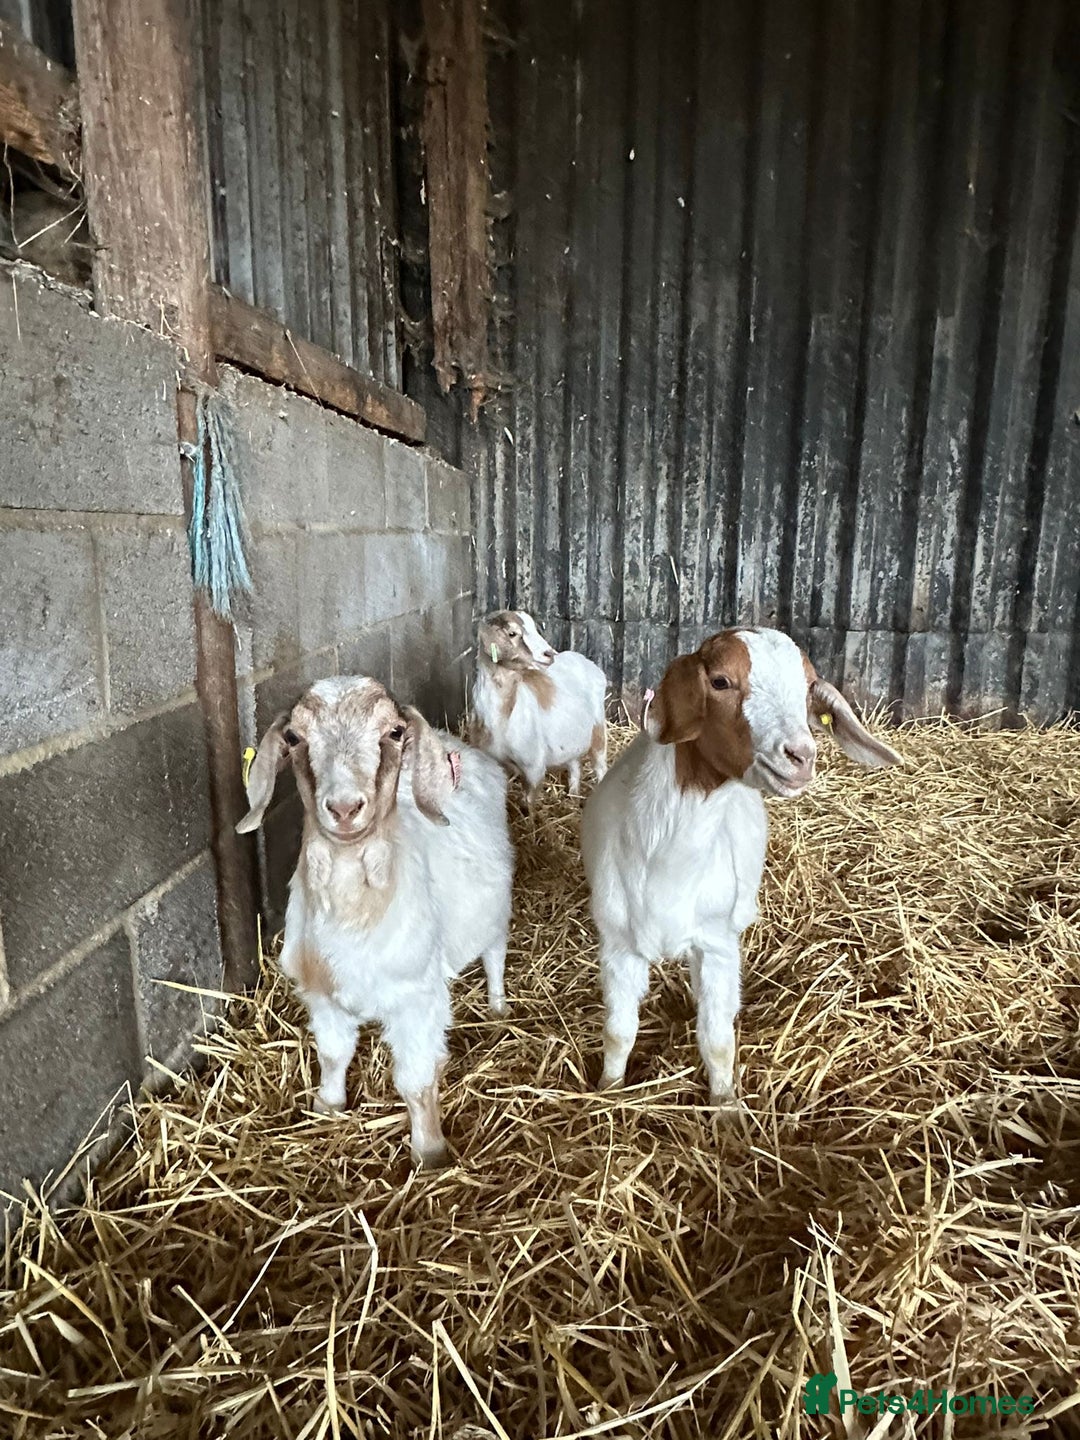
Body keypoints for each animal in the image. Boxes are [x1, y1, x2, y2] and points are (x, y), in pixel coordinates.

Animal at [236, 676, 514, 1168]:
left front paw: (429, 1154)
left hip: (496, 911)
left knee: (495, 955)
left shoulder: (416, 1000)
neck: (353, 917)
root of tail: (459, 745)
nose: (345, 807)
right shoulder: (321, 995)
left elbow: (416, 1083)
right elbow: (332, 1055)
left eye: (395, 732)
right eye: (294, 737)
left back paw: (498, 1006)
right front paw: (327, 1106)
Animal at [471, 609, 608, 804]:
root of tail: (581, 657)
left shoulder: (533, 767)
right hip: (572, 737)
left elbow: (527, 805)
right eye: (512, 633)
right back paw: (573, 795)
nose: (550, 654)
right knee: (575, 765)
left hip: (598, 730)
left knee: (600, 766)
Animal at [580, 628, 901, 1106]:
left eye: (809, 687)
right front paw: (609, 1091)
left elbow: (717, 1039)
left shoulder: (717, 946)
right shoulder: (619, 945)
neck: (671, 859)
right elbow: (619, 1032)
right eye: (719, 682)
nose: (801, 756)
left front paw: (726, 1108)